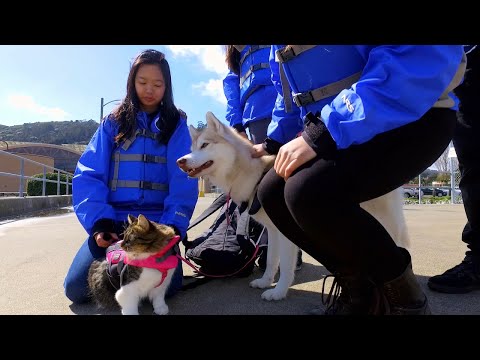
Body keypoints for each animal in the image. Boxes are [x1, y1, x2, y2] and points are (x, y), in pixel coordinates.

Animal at [176, 112, 408, 300]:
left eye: (205, 145)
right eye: (192, 148)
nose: (180, 161)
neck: (253, 172)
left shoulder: (284, 230)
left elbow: (286, 265)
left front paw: (278, 292)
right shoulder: (272, 230)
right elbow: (271, 260)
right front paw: (265, 281)